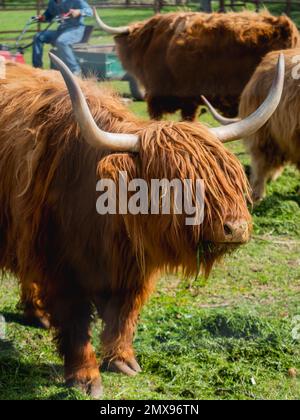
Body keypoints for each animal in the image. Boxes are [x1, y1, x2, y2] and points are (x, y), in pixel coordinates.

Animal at [0, 55, 284, 398]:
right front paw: (85, 377)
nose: (237, 228)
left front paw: (122, 361)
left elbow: (124, 315)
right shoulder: (60, 266)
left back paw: (37, 314)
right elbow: (76, 325)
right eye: (175, 182)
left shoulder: (134, 268)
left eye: (229, 176)